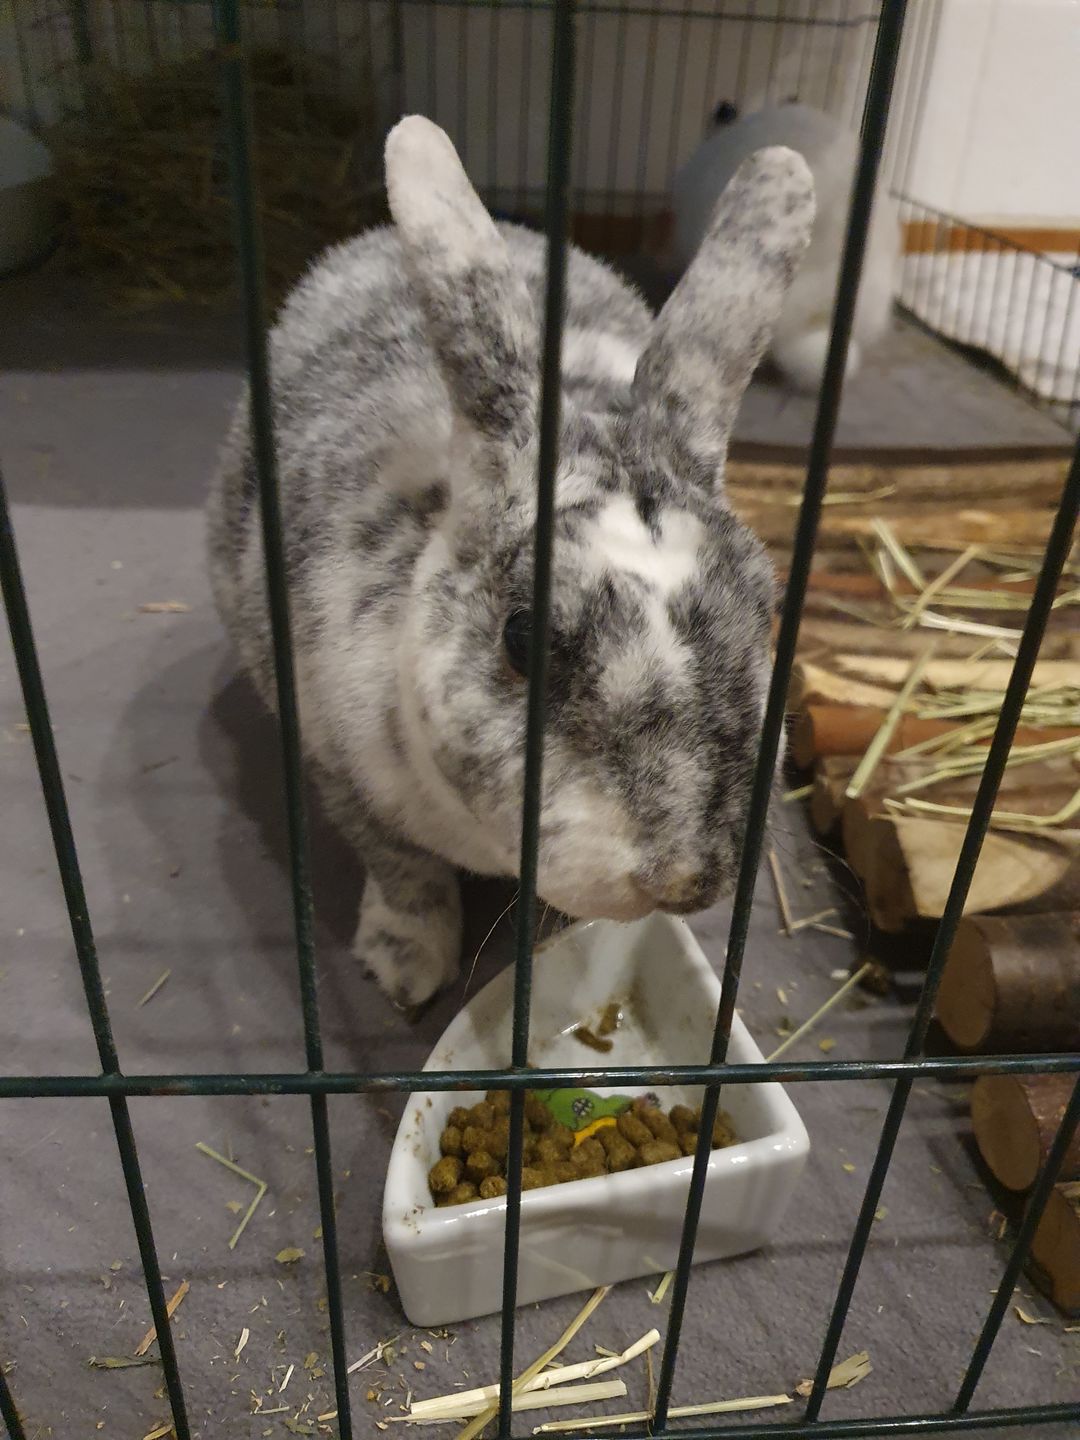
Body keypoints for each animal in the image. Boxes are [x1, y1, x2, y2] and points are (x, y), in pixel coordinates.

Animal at [207, 116, 814, 1009]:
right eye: (522, 638)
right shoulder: (338, 767)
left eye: (765, 612)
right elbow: (404, 871)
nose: (685, 880)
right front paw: (404, 971)